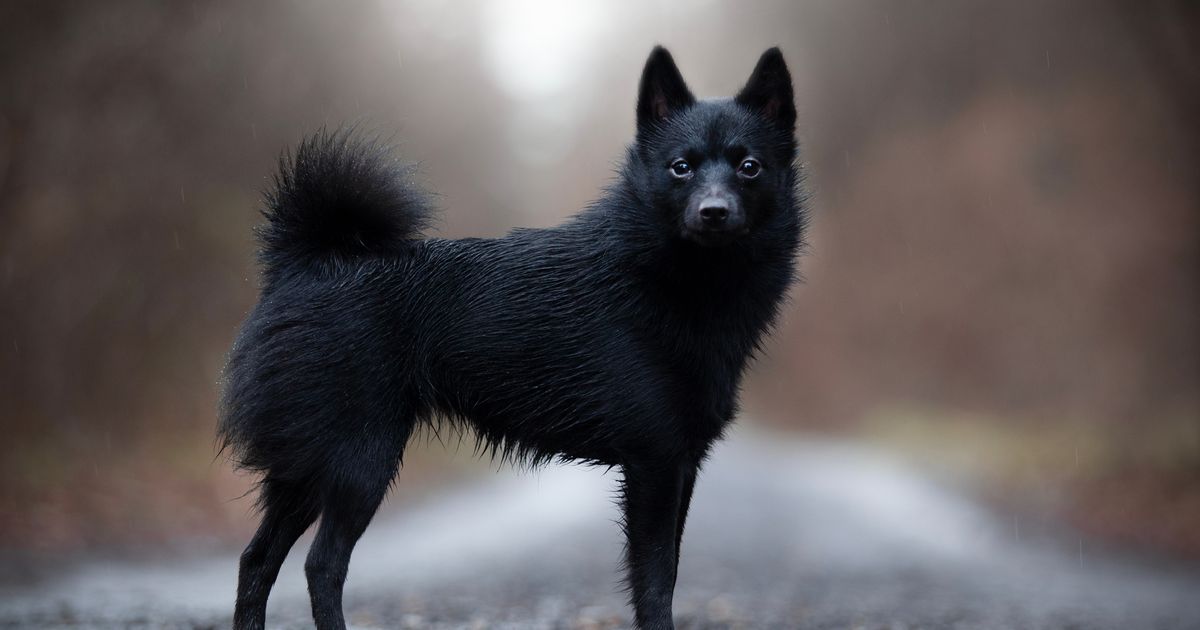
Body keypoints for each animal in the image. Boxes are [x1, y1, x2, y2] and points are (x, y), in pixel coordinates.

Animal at [223, 46, 806, 624]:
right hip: (358, 461)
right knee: (322, 565)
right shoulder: (655, 465)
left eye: (750, 167)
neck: (675, 280)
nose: (714, 212)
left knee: (257, 561)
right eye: (680, 167)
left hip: (305, 467)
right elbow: (657, 587)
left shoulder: (682, 465)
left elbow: (669, 575)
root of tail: (308, 261)